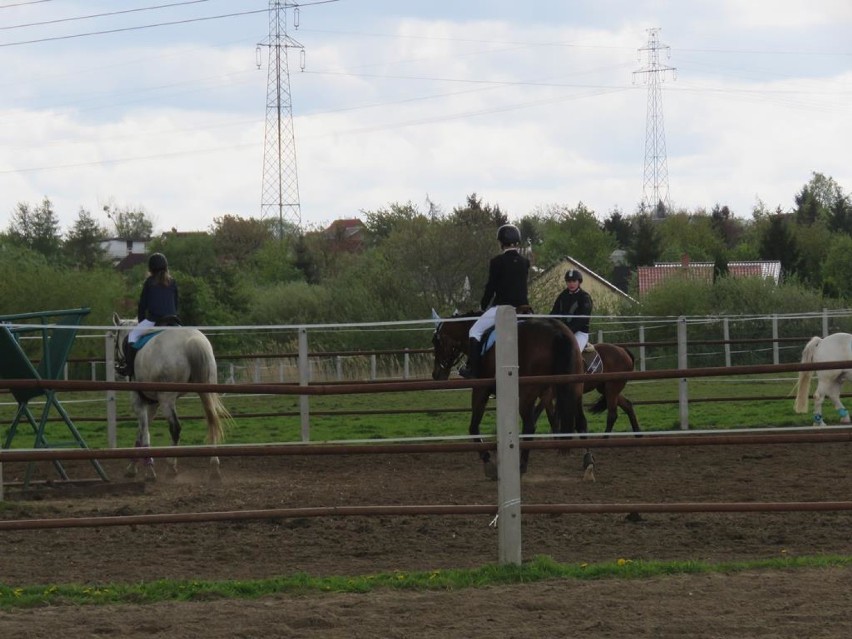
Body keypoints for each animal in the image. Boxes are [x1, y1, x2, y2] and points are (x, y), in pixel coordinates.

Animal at [111, 312, 230, 482]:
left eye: (115, 337)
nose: (118, 365)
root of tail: (192, 341)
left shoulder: (138, 401)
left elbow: (143, 431)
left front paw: (148, 470)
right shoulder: (153, 404)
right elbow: (141, 432)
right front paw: (132, 468)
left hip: (167, 399)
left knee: (175, 428)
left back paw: (171, 466)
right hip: (205, 391)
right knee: (212, 419)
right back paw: (214, 468)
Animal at [430, 310, 588, 480]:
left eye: (436, 342)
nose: (436, 374)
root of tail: (558, 332)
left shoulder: (481, 389)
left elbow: (473, 427)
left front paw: (488, 462)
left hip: (527, 393)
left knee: (530, 425)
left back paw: (521, 466)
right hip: (573, 390)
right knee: (581, 422)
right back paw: (588, 463)